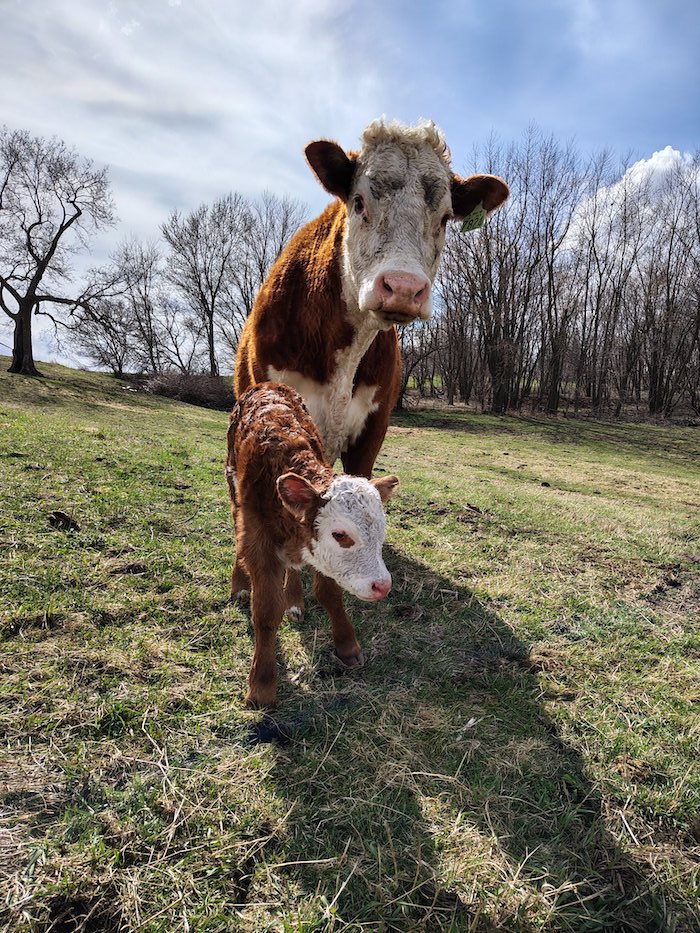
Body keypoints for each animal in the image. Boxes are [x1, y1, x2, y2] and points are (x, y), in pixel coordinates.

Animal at [226, 382, 399, 708]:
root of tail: (267, 385)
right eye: (340, 535)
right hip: (233, 491)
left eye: (381, 533)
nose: (382, 586)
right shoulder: (258, 539)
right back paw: (240, 585)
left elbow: (329, 594)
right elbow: (265, 611)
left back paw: (294, 600)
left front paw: (347, 646)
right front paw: (261, 687)